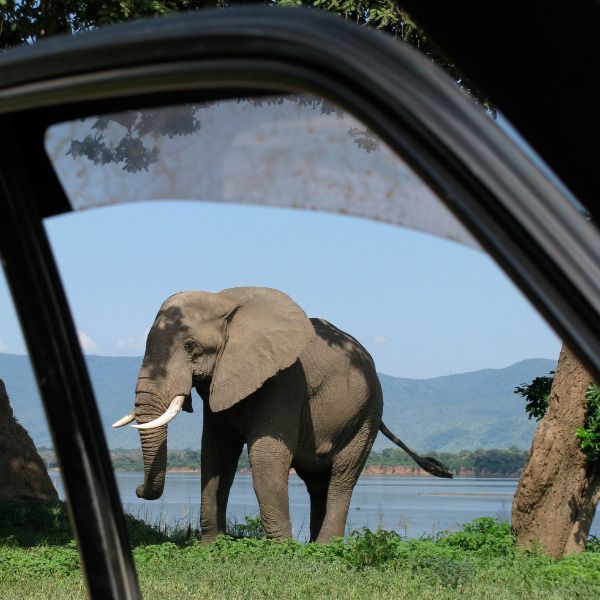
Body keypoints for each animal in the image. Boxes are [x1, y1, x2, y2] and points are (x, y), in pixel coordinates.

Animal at [112, 288, 450, 544]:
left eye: (190, 346)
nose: (137, 490)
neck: (225, 301)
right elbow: (216, 455)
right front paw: (211, 546)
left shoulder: (285, 380)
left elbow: (266, 456)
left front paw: (282, 551)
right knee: (317, 482)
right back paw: (313, 544)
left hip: (368, 412)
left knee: (342, 477)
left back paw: (325, 548)